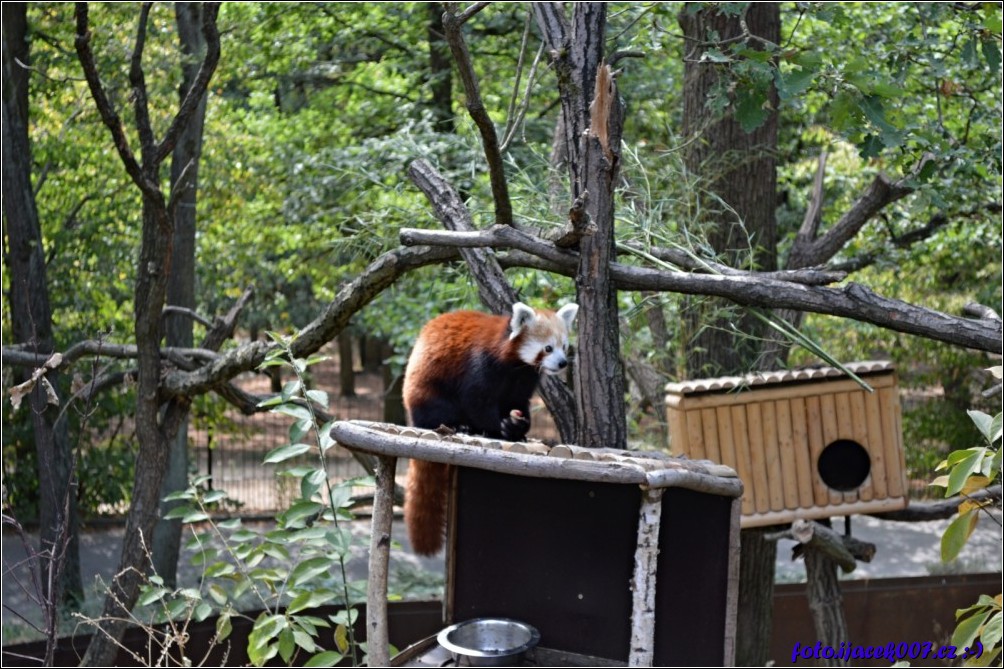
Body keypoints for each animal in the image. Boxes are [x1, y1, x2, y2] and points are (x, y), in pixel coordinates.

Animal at [397, 301, 574, 550]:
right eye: (548, 348)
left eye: (564, 346)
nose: (562, 363)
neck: (515, 365)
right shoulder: (481, 364)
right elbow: (477, 399)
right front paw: (499, 428)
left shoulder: (522, 380)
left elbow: (518, 402)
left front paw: (517, 427)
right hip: (428, 387)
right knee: (437, 409)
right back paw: (460, 426)